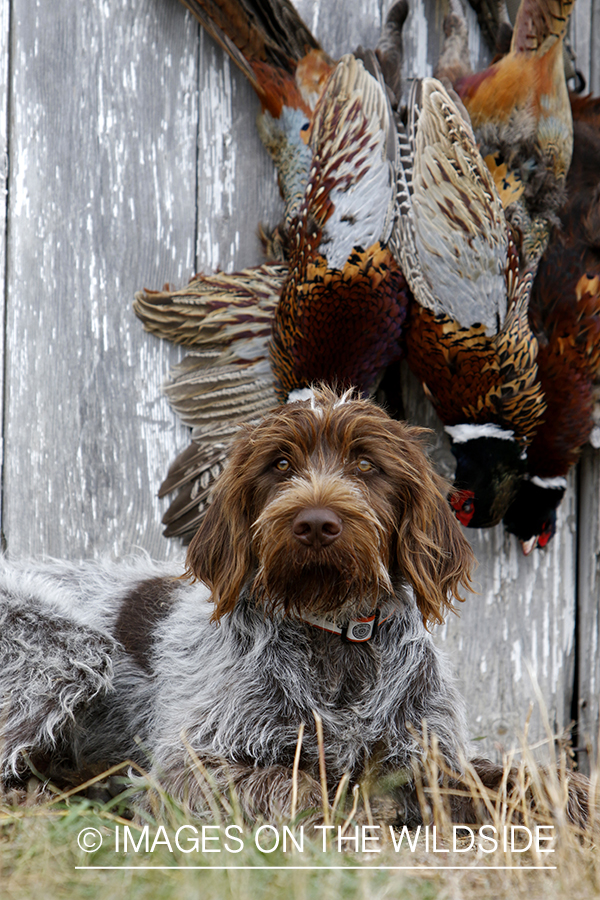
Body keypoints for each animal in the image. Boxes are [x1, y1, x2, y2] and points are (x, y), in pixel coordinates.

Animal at [0, 390, 584, 828]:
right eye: (280, 464)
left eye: (366, 464)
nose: (317, 523)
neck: (337, 636)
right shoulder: (191, 772)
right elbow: (296, 786)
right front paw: (359, 813)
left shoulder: (428, 757)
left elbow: (521, 781)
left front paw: (569, 801)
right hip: (70, 650)